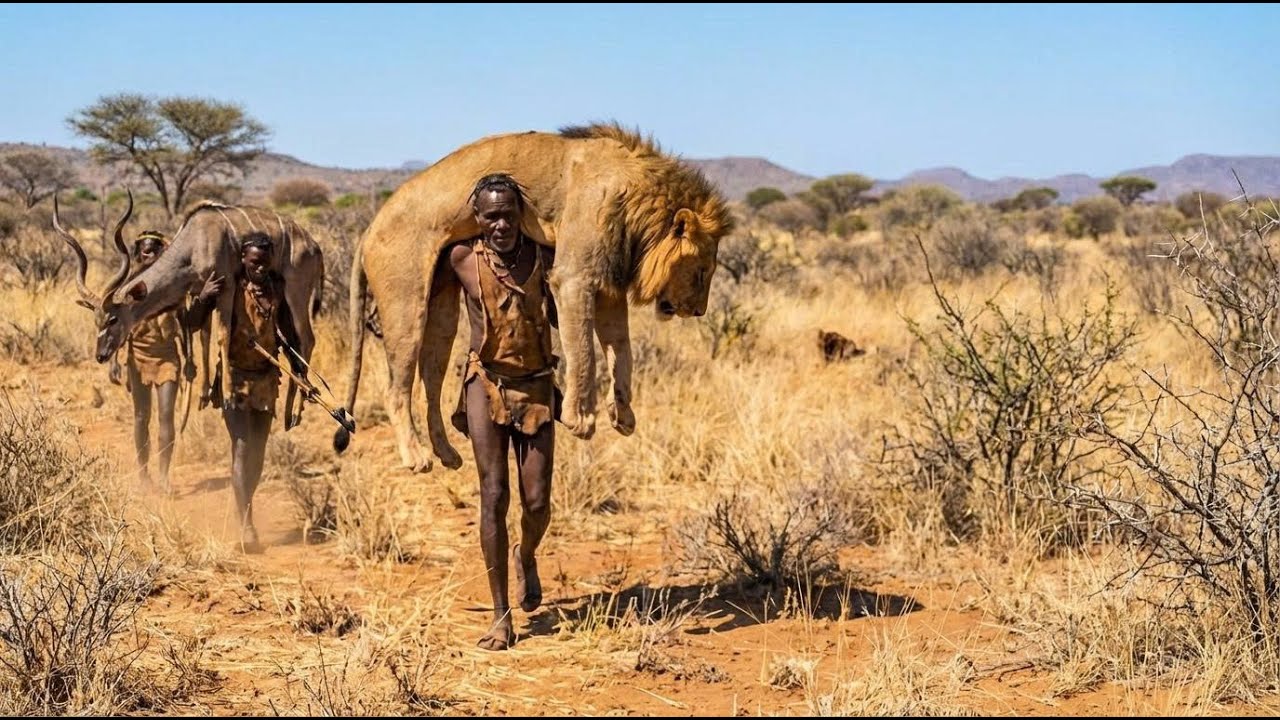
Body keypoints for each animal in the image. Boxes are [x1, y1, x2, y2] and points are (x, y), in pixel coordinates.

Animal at [339, 123, 734, 472]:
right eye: (702, 271)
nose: (699, 311)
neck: (637, 199)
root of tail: (369, 228)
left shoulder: (609, 284)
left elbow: (622, 351)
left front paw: (623, 415)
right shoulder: (574, 277)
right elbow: (584, 352)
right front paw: (581, 420)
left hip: (442, 309)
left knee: (430, 383)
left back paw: (447, 453)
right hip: (406, 305)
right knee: (396, 388)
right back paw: (415, 457)